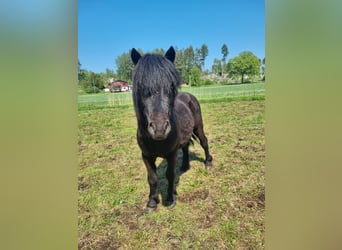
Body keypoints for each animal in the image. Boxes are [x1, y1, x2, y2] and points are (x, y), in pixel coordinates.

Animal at [131, 46, 211, 212]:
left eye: (170, 86)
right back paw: (185, 166)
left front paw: (170, 198)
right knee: (186, 146)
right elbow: (152, 178)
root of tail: (189, 96)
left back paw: (208, 163)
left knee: (204, 142)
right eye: (141, 88)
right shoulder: (146, 156)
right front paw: (152, 202)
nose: (160, 129)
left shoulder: (172, 154)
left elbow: (169, 175)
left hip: (198, 127)